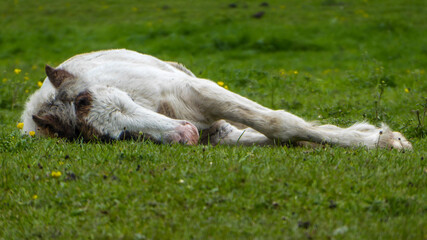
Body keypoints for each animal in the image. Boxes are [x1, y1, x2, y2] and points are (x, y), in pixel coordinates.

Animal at [20, 49, 412, 149]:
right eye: (118, 136)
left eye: (127, 100)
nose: (188, 134)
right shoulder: (218, 132)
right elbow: (280, 134)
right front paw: (377, 138)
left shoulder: (201, 91)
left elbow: (280, 122)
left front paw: (386, 141)